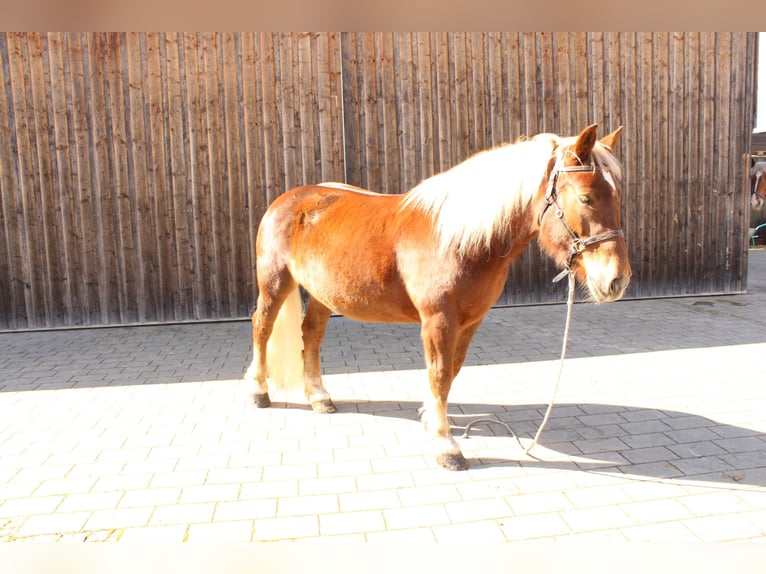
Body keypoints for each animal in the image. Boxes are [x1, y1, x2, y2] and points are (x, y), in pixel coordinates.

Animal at [246, 126, 632, 472]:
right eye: (585, 198)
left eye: (618, 197)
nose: (616, 280)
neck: (458, 240)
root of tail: (290, 198)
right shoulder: (438, 321)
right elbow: (440, 373)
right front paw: (446, 446)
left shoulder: (471, 321)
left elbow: (452, 372)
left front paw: (432, 421)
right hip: (275, 280)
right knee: (262, 327)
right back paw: (258, 391)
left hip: (323, 294)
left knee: (311, 333)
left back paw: (319, 397)